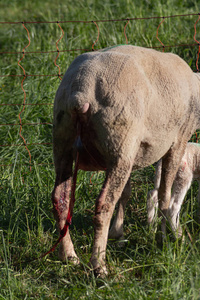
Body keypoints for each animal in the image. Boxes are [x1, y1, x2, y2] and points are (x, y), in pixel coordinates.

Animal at [51, 44, 200, 276]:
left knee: (60, 198)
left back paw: (69, 256)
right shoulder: (178, 140)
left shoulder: (130, 152)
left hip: (68, 141)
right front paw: (163, 239)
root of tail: (80, 92)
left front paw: (118, 235)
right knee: (103, 205)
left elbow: (126, 193)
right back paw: (99, 265)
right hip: (119, 136)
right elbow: (165, 196)